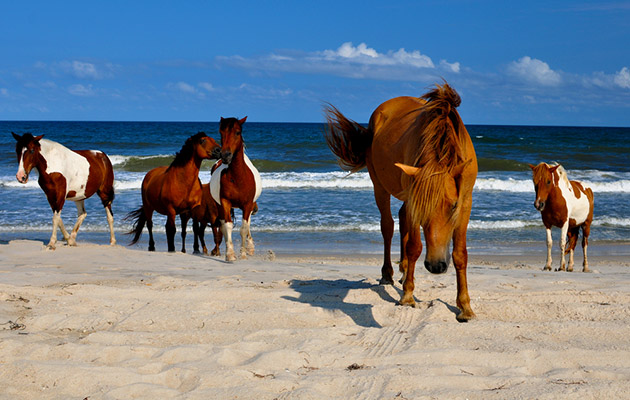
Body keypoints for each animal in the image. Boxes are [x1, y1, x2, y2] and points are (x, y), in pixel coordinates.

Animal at [211, 117, 262, 260]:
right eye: (221, 132)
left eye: (238, 132)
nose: (225, 155)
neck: (238, 177)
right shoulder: (225, 202)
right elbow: (227, 226)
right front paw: (230, 254)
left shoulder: (248, 204)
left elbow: (244, 228)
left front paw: (243, 253)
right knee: (223, 225)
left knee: (248, 224)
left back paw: (250, 248)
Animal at [326, 83, 478, 320]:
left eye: (453, 206)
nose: (436, 266)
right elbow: (414, 246)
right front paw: (407, 296)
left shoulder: (465, 202)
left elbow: (460, 254)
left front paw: (465, 307)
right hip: (380, 187)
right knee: (388, 226)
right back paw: (388, 274)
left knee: (402, 218)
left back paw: (405, 270)